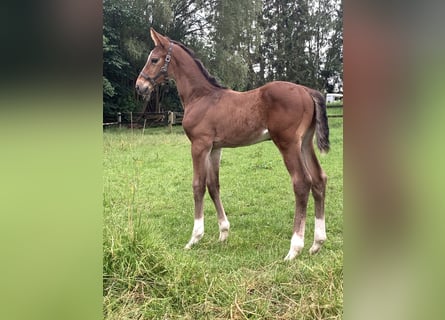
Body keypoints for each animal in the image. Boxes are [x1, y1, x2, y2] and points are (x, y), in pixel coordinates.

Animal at [134, 28, 328, 262]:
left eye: (154, 59)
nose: (140, 86)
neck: (201, 96)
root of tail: (308, 91)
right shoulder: (215, 148)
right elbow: (213, 185)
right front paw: (223, 232)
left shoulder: (199, 145)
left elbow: (198, 185)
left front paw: (194, 238)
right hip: (305, 143)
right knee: (319, 179)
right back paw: (317, 244)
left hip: (287, 143)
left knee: (302, 182)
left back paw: (294, 249)